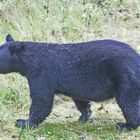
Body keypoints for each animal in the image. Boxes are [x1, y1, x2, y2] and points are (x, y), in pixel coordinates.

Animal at [0, 34, 140, 131]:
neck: (28, 62)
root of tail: (136, 58)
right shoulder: (76, 86)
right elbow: (80, 100)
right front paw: (84, 116)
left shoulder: (40, 74)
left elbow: (42, 100)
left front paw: (23, 122)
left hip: (125, 77)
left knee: (128, 102)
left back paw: (126, 125)